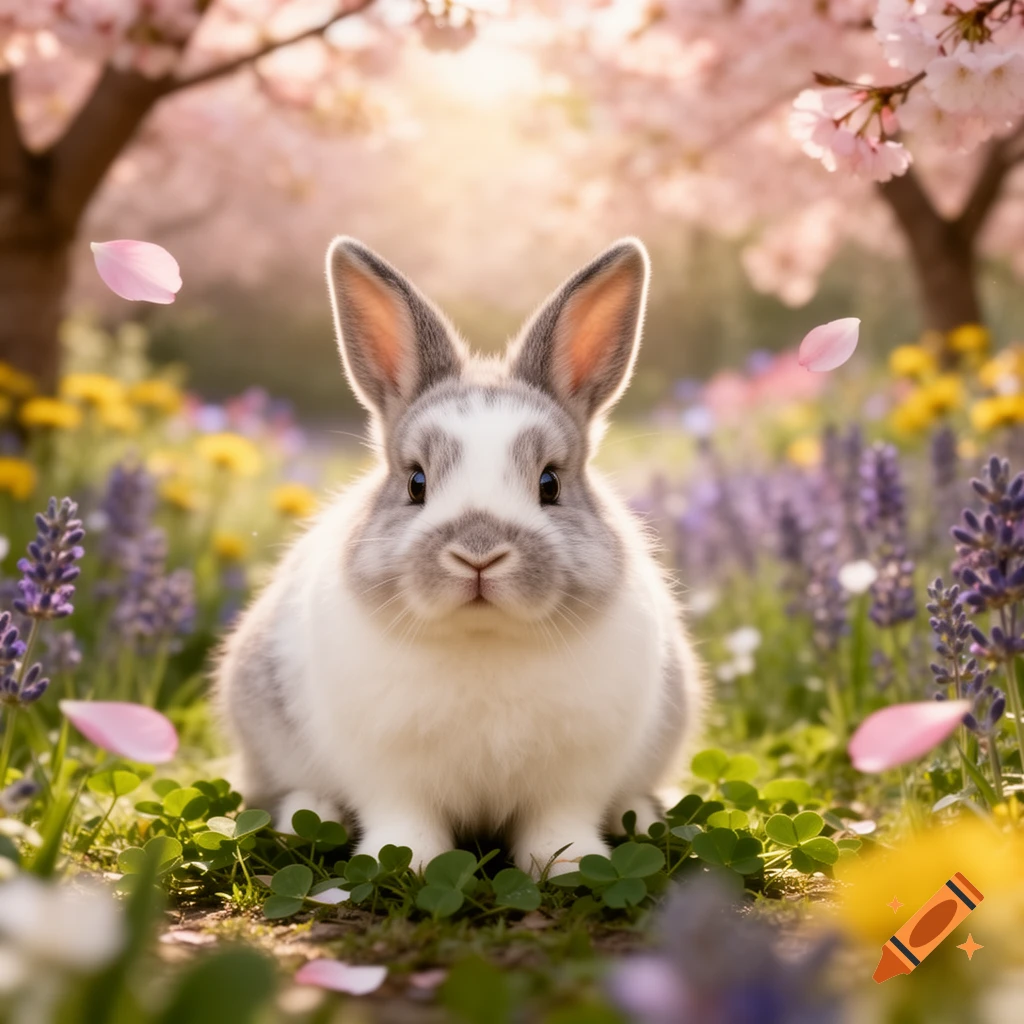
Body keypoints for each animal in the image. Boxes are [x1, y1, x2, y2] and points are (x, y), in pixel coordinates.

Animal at [215, 235, 704, 877]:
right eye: (416, 482)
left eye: (550, 483)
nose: (478, 554)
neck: (482, 639)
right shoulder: (390, 772)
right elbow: (405, 822)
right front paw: (406, 863)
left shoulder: (572, 778)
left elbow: (559, 824)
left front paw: (571, 864)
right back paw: (311, 814)